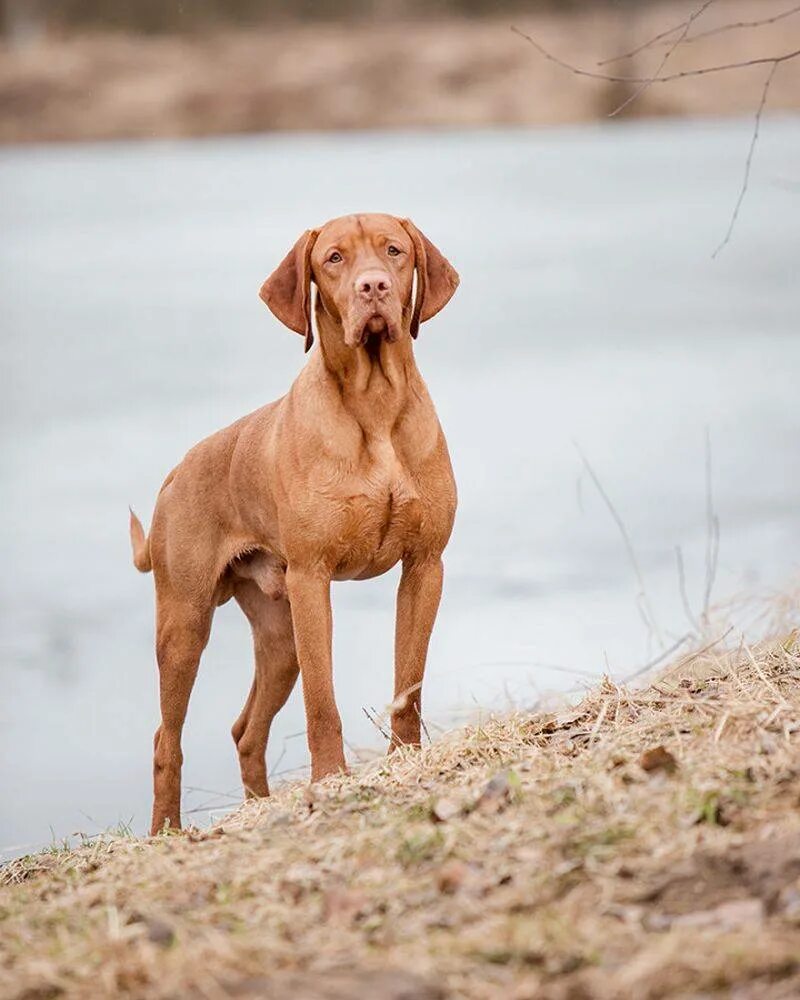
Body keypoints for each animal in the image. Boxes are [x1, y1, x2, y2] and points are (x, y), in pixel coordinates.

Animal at [129, 213, 460, 836]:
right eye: (333, 258)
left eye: (394, 251)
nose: (374, 287)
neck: (375, 403)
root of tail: (175, 473)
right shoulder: (312, 579)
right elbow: (322, 701)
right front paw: (330, 780)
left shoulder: (425, 566)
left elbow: (409, 683)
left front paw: (406, 759)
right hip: (185, 625)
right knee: (166, 738)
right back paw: (166, 831)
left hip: (278, 638)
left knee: (245, 730)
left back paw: (258, 807)